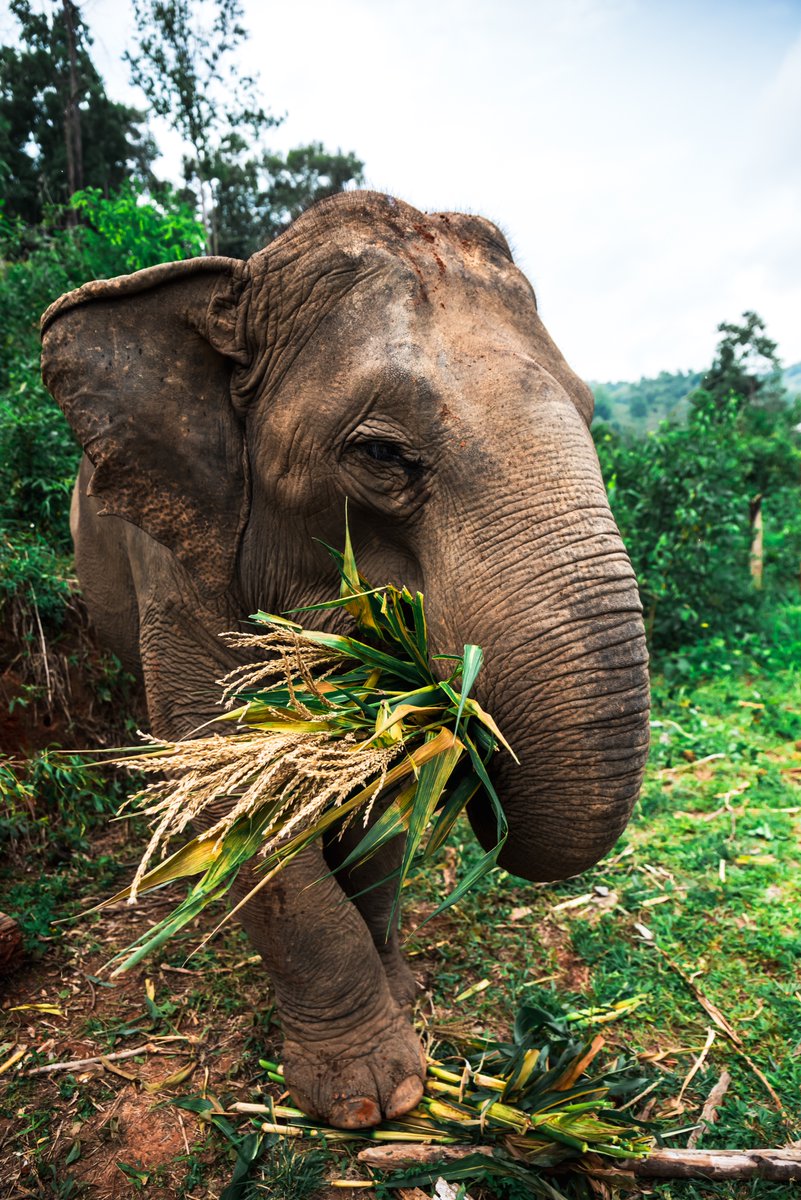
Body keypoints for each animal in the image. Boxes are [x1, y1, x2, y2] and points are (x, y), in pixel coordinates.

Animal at [38, 189, 652, 1132]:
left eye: (591, 412)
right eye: (380, 454)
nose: (489, 774)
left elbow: (382, 787)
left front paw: (400, 992)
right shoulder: (173, 561)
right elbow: (234, 783)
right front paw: (372, 1098)